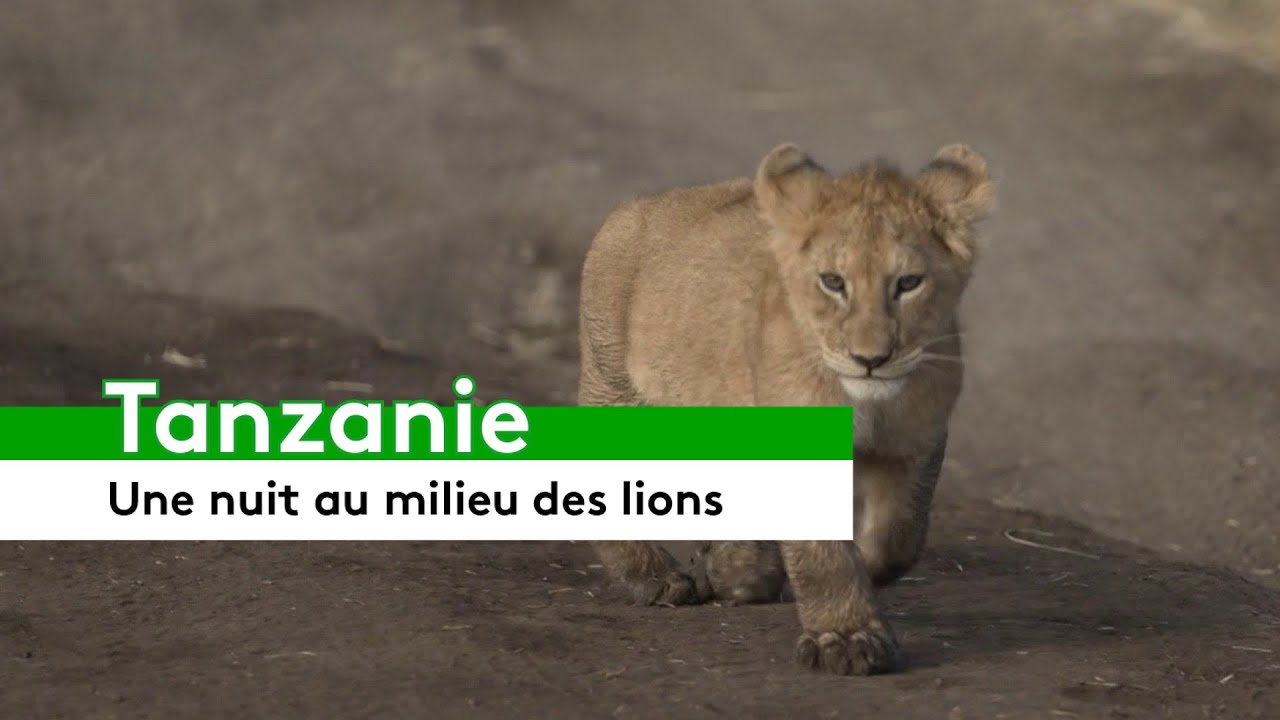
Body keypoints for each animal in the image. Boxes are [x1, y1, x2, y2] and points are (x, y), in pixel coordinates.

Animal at [576, 141, 995, 675]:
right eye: (833, 282)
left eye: (908, 283)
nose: (871, 359)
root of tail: (638, 206)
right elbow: (823, 554)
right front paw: (846, 637)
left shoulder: (916, 438)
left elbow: (900, 537)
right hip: (616, 386)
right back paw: (654, 578)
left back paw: (738, 568)